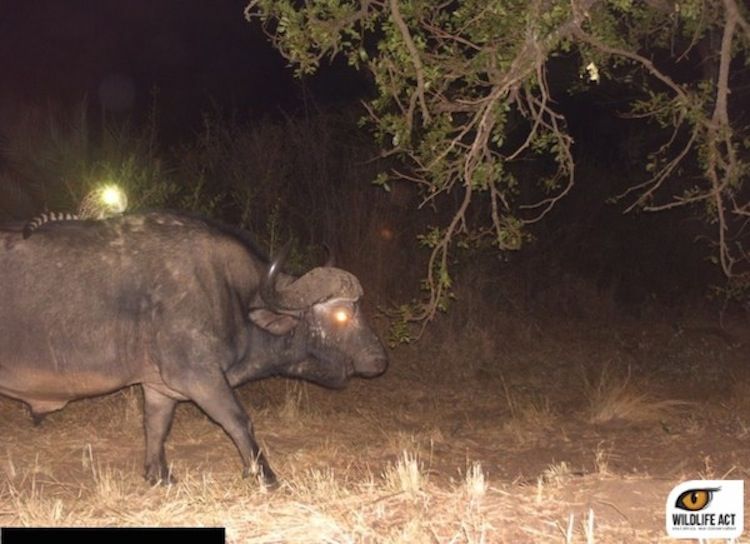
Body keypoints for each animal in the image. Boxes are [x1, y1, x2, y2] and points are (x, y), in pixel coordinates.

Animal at [0, 210, 388, 486]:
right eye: (342, 314)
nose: (380, 359)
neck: (229, 293)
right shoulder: (200, 377)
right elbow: (239, 420)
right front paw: (265, 475)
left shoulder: (159, 387)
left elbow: (156, 425)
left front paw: (158, 475)